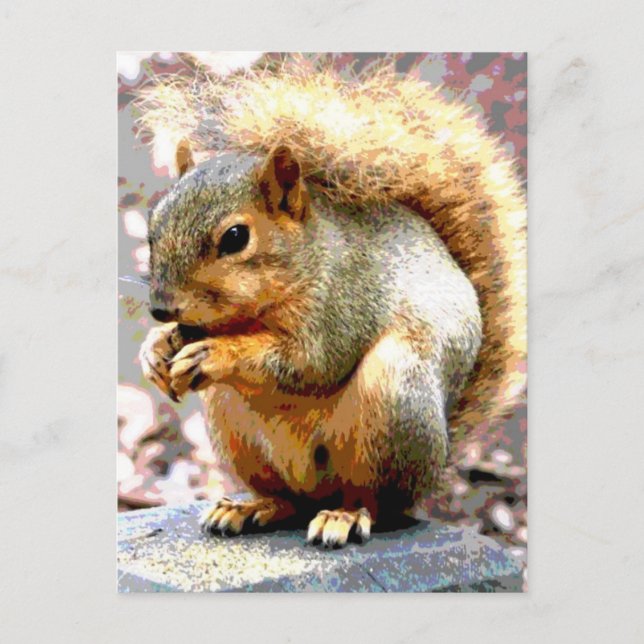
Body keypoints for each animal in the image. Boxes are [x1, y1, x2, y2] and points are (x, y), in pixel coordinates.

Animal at [136, 60, 526, 548]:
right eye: (153, 225)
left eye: (235, 237)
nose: (161, 308)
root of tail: (438, 462)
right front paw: (155, 349)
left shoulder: (345, 302)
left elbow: (311, 363)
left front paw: (216, 353)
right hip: (231, 421)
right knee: (288, 501)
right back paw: (251, 507)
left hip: (393, 397)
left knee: (376, 503)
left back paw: (345, 516)